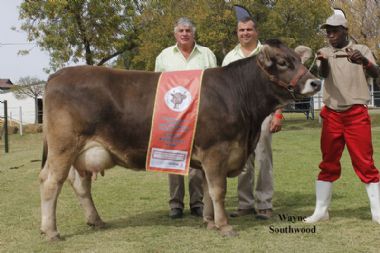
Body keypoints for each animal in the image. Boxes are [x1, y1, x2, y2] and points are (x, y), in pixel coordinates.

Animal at [39, 39, 320, 239]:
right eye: (282, 62)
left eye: (298, 59)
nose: (315, 82)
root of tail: (58, 75)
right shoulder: (216, 150)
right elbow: (218, 190)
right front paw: (225, 226)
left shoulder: (210, 155)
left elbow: (207, 191)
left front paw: (209, 221)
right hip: (63, 147)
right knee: (51, 183)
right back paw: (51, 231)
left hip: (82, 153)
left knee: (80, 185)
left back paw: (95, 220)